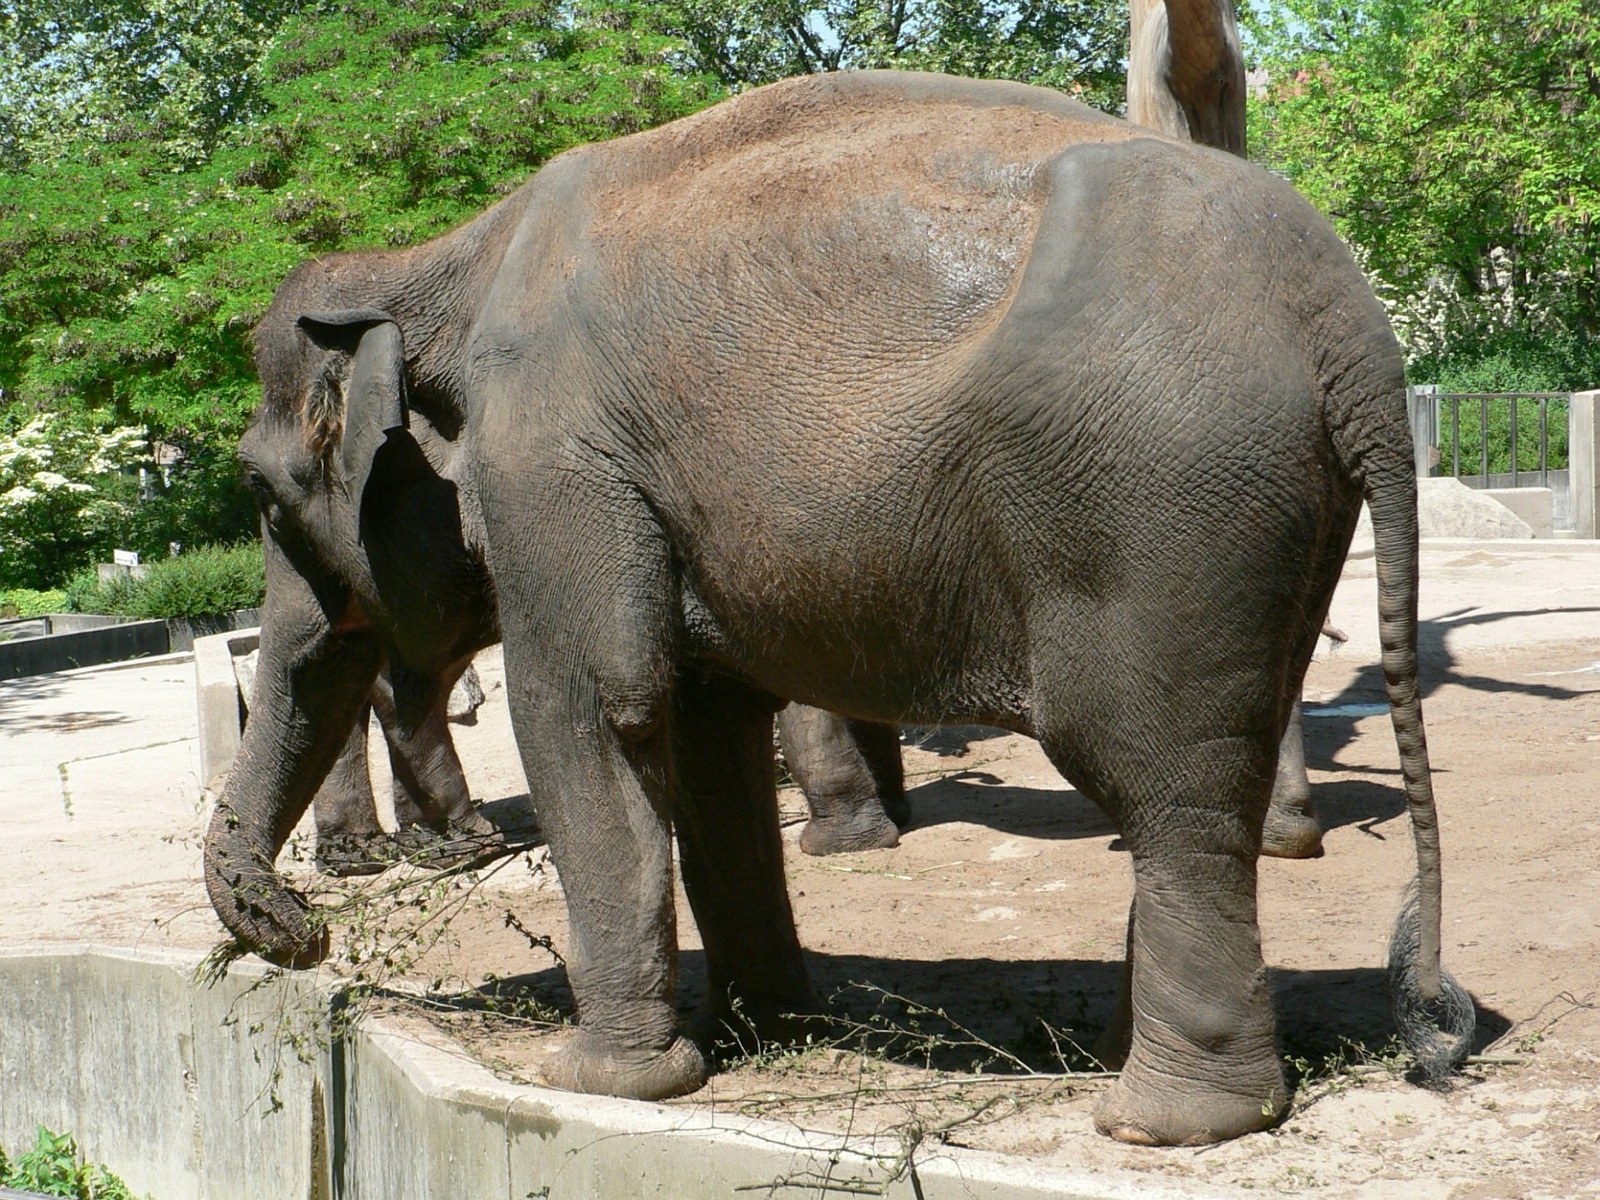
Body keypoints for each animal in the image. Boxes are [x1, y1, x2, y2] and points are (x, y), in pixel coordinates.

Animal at [203, 70, 1473, 1145]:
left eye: (260, 491)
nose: (303, 934)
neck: (440, 259)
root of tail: (1357, 337)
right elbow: (707, 737)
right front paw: (769, 1032)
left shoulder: (554, 463)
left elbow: (596, 708)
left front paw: (603, 1079)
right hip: (1268, 523)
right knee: (1220, 761)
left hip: (1161, 509)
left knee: (1163, 785)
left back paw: (1159, 1123)